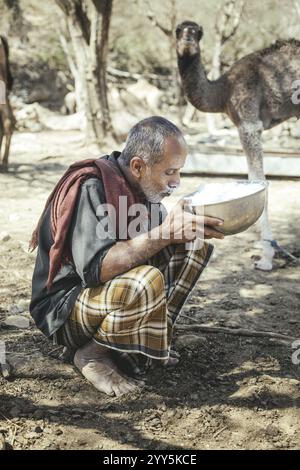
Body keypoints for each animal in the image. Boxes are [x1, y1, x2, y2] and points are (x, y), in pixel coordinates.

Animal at [176, 21, 300, 272]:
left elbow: (260, 182)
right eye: (178, 30)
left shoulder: (248, 123)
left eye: (197, 32)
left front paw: (266, 258)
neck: (223, 91)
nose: (187, 41)